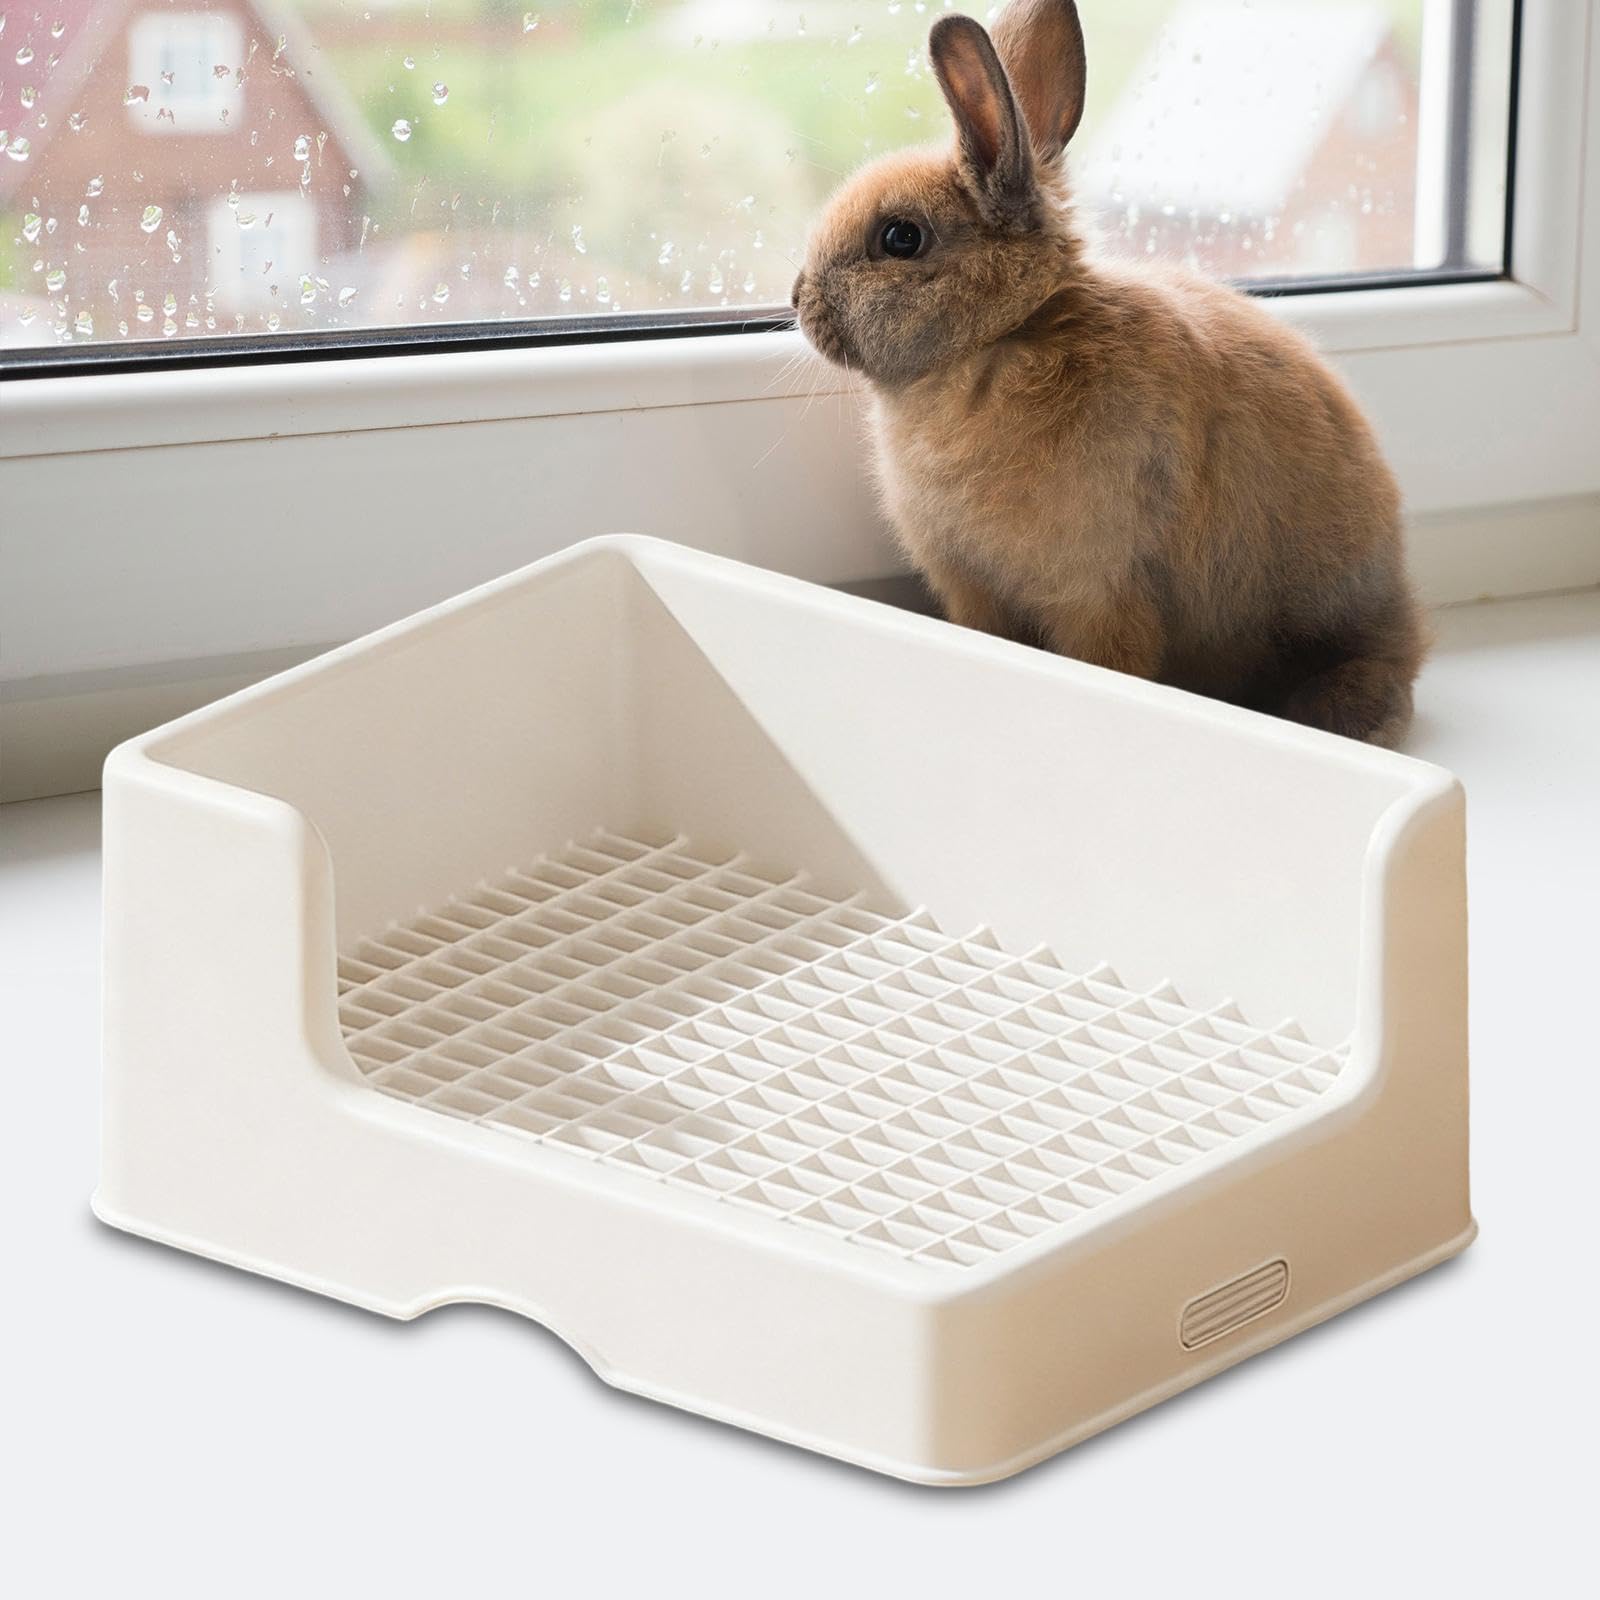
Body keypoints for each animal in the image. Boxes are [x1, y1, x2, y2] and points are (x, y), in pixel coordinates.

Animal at [790, 0, 1426, 745]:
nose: (797, 298)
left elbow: (1110, 658)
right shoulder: (976, 592)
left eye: (901, 237)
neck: (1003, 336)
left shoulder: (1098, 592)